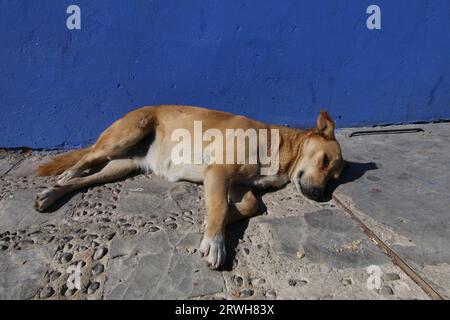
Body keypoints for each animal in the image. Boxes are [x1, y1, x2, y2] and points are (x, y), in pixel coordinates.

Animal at [34, 106, 344, 268]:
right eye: (324, 160)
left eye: (334, 179)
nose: (319, 195)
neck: (280, 148)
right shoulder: (218, 172)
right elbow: (219, 207)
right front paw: (215, 241)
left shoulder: (235, 184)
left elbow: (249, 205)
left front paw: (215, 223)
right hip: (122, 137)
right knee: (84, 160)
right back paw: (62, 178)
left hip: (121, 166)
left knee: (86, 179)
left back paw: (51, 195)